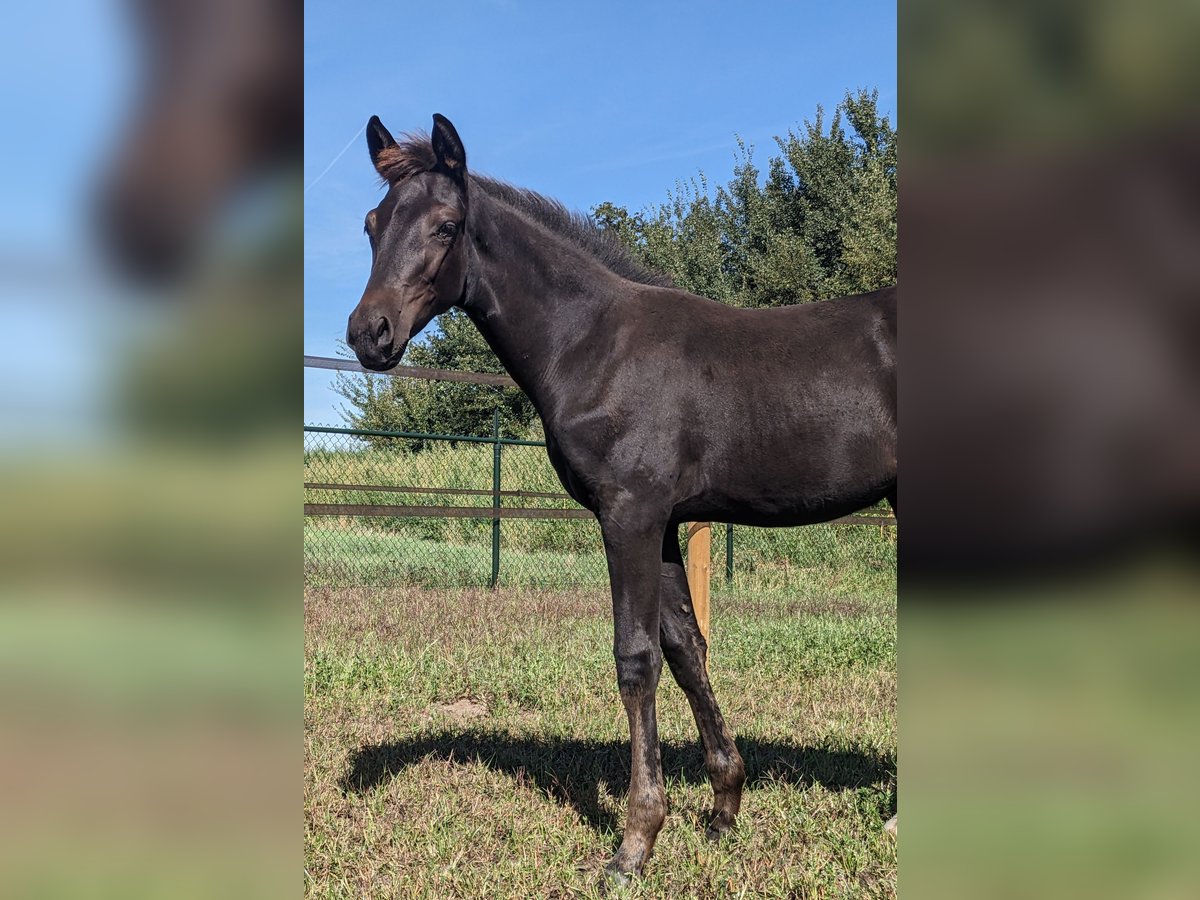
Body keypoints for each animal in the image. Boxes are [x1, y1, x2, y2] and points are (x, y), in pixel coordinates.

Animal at [345, 114, 897, 883]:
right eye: (373, 224)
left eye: (446, 226)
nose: (369, 335)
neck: (593, 344)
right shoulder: (662, 523)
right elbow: (687, 648)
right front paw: (723, 807)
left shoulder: (628, 514)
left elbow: (635, 660)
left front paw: (635, 841)